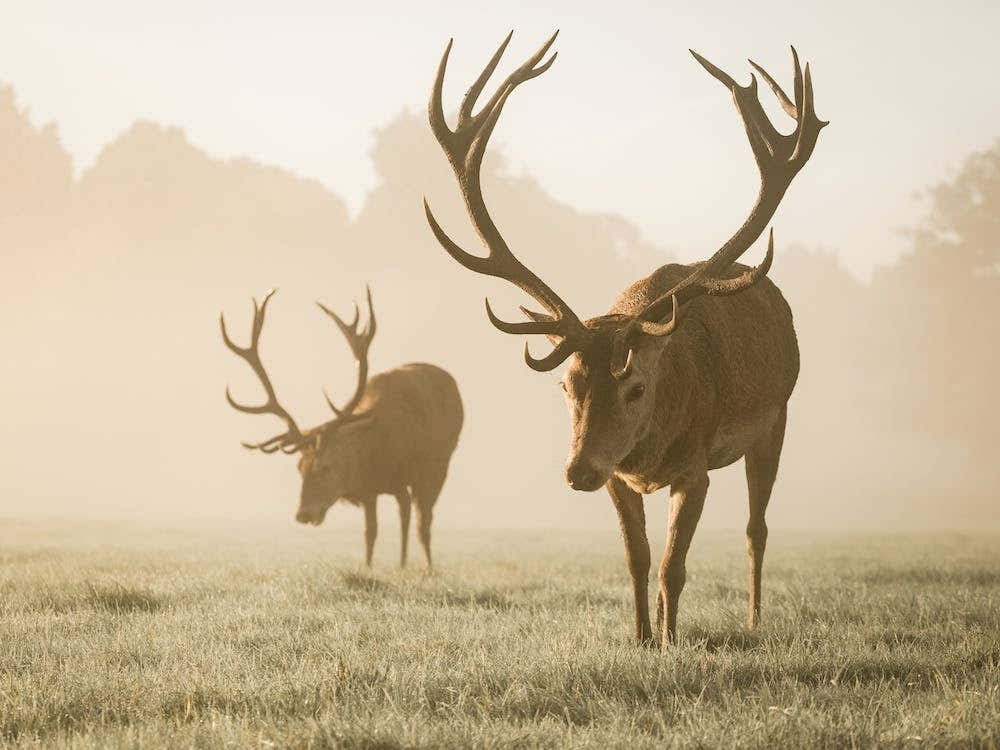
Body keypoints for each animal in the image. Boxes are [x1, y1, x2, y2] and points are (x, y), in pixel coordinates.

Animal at [220, 287, 463, 568]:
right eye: (299, 467)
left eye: (326, 467)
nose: (303, 514)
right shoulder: (371, 488)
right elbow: (370, 532)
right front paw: (368, 567)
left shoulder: (407, 476)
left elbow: (407, 522)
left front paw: (409, 566)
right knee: (407, 514)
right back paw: (403, 563)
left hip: (439, 465)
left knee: (423, 521)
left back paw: (427, 565)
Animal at [423, 32, 825, 648]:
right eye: (567, 386)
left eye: (634, 385)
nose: (577, 471)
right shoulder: (618, 476)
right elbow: (638, 559)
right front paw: (641, 638)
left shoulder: (695, 468)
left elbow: (673, 566)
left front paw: (671, 641)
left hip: (776, 417)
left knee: (756, 527)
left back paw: (755, 618)